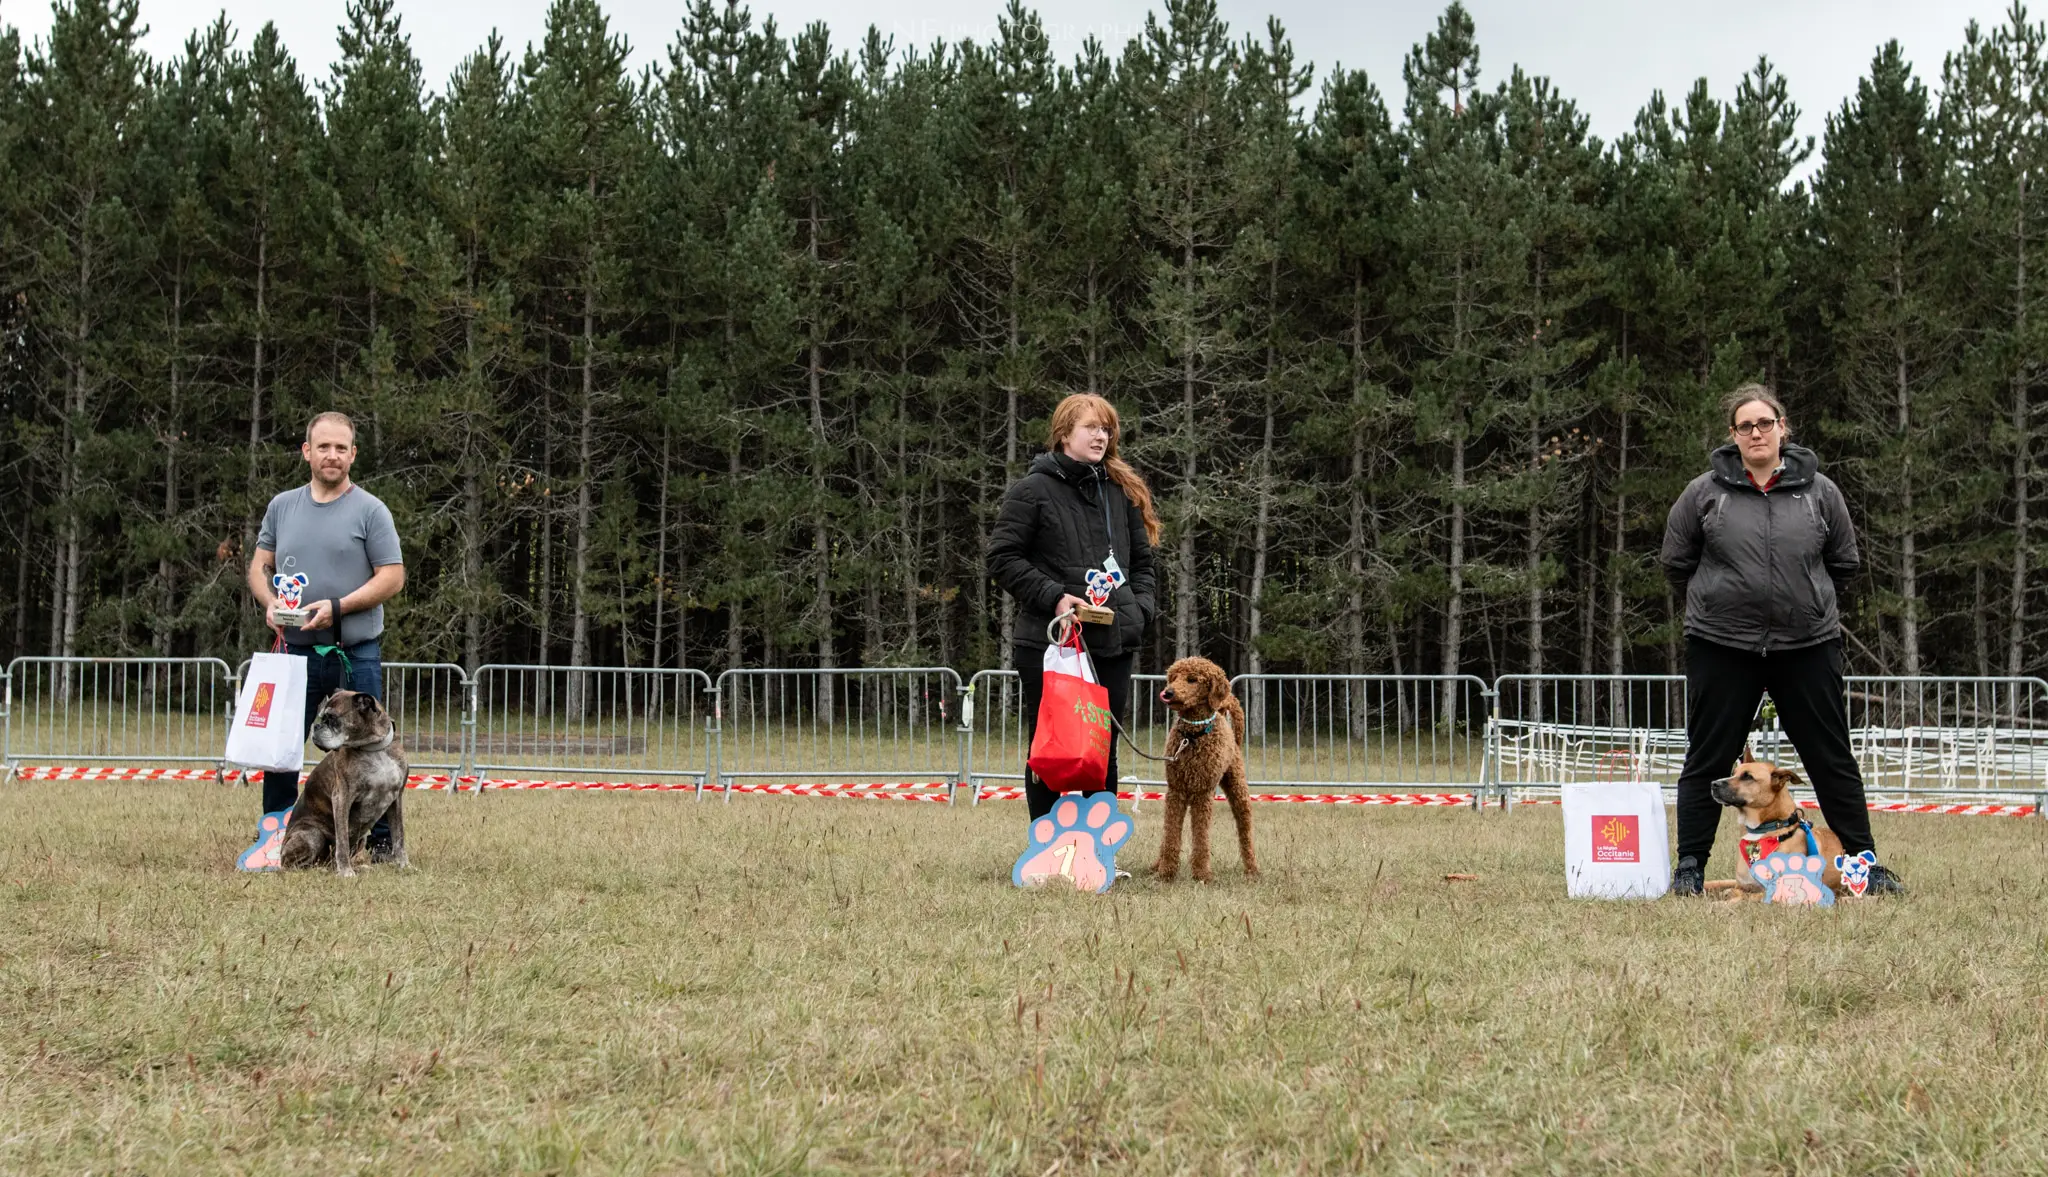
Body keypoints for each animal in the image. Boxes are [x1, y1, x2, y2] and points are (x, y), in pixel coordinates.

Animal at [1146, 655, 1253, 884]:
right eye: (1173, 677)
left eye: (1192, 679)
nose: (1168, 693)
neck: (1192, 736)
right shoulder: (1176, 791)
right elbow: (1170, 835)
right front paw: (1166, 872)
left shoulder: (1202, 794)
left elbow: (1201, 837)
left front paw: (1202, 874)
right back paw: (1157, 864)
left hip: (1237, 787)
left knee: (1245, 828)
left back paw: (1252, 870)